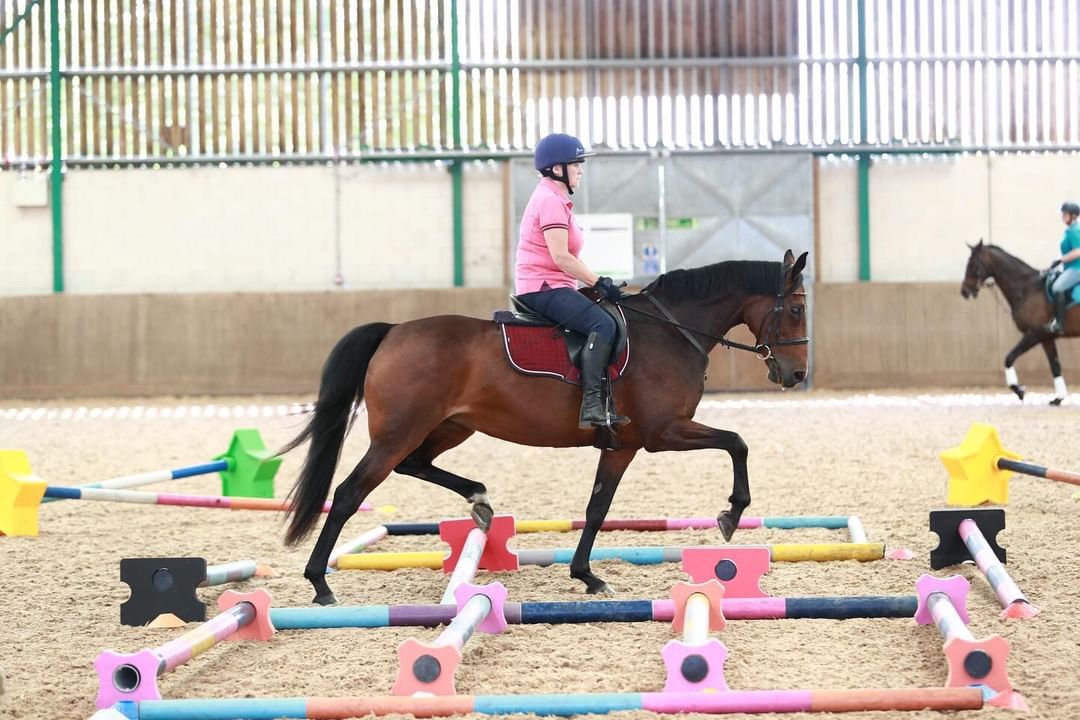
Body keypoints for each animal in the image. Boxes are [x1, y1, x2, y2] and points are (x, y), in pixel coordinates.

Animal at [282, 250, 807, 604]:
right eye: (797, 309)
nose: (796, 375)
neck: (670, 333)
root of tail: (393, 331)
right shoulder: (664, 434)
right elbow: (737, 443)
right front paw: (731, 515)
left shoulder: (622, 446)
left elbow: (597, 508)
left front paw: (587, 575)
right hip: (398, 433)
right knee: (349, 493)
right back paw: (320, 582)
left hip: (451, 427)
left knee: (415, 464)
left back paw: (479, 500)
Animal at [963, 239, 1071, 403]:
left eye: (973, 265)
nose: (964, 291)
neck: (1028, 289)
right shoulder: (1046, 338)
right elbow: (1055, 367)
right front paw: (1058, 399)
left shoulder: (1034, 334)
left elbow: (1009, 358)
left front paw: (1018, 389)